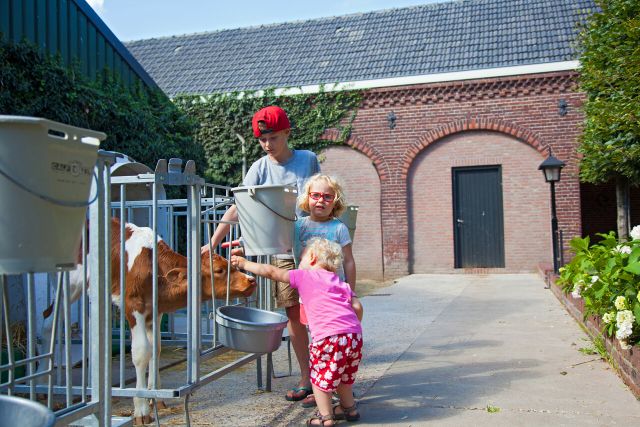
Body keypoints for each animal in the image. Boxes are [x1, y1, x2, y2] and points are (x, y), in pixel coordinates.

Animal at [38, 219, 255, 426]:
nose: (251, 280)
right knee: (48, 322)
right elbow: (142, 352)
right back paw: (43, 382)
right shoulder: (133, 306)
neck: (153, 268)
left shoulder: (156, 310)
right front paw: (141, 409)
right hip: (69, 284)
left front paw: (155, 396)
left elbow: (156, 349)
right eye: (219, 270)